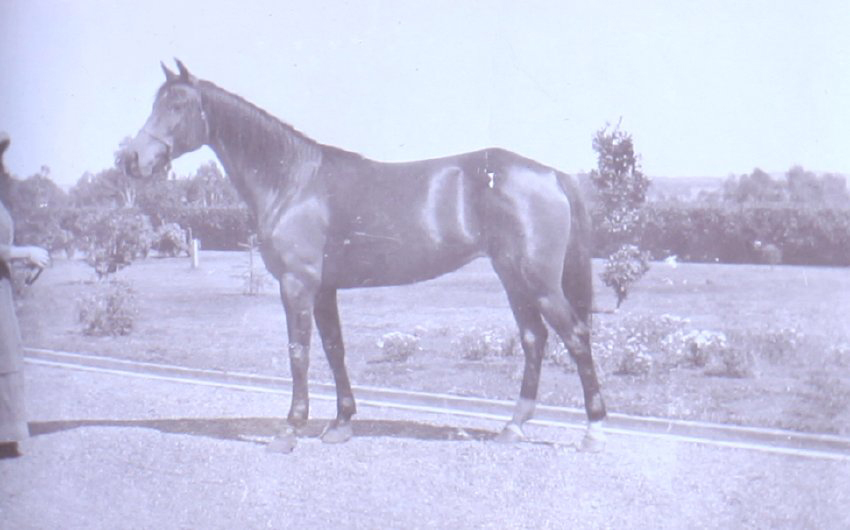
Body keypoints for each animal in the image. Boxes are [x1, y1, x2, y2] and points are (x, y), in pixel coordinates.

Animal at [122, 60, 607, 453]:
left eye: (178, 105)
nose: (132, 159)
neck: (294, 182)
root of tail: (553, 174)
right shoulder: (324, 290)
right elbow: (334, 349)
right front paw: (340, 424)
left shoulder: (297, 285)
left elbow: (299, 352)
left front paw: (289, 430)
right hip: (512, 277)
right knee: (533, 338)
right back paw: (514, 426)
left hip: (539, 282)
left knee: (576, 337)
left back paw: (593, 431)